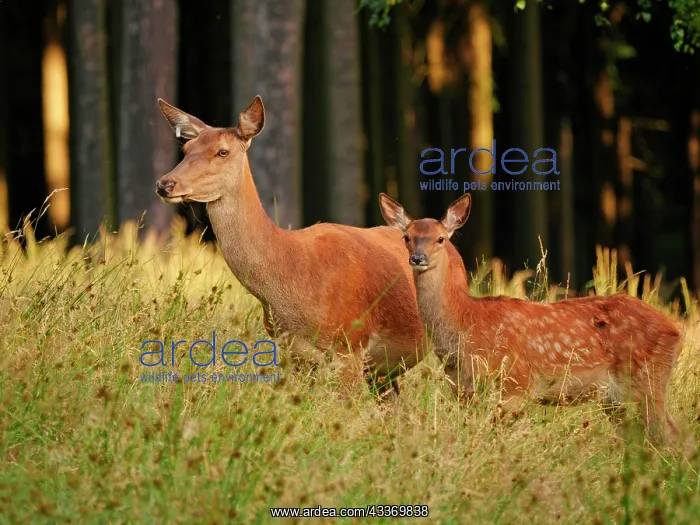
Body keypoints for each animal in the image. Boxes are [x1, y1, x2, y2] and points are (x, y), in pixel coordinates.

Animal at [154, 95, 427, 396]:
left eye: (222, 152)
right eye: (186, 148)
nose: (165, 184)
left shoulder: (350, 346)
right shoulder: (292, 353)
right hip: (383, 374)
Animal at [379, 192, 682, 441]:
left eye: (440, 239)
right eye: (407, 237)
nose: (418, 258)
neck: (466, 322)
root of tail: (675, 330)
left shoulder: (517, 385)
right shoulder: (463, 390)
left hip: (647, 382)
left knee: (673, 436)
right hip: (616, 400)